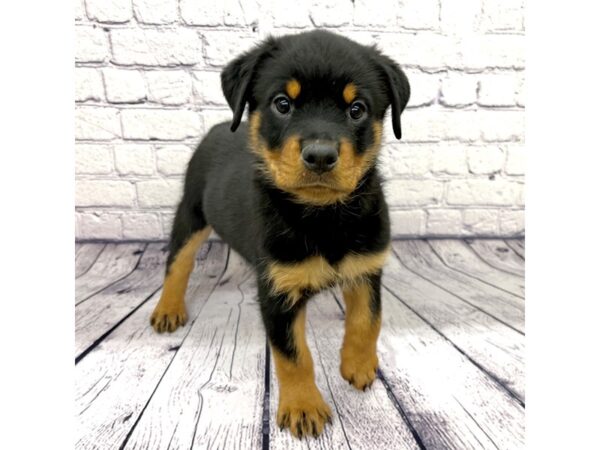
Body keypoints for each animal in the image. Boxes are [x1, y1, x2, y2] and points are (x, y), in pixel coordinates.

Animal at [151, 30, 412, 440]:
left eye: (357, 109)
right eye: (282, 104)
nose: (320, 155)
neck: (322, 216)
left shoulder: (366, 267)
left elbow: (368, 320)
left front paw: (359, 365)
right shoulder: (277, 290)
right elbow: (293, 355)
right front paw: (303, 407)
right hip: (190, 212)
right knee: (178, 263)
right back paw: (168, 309)